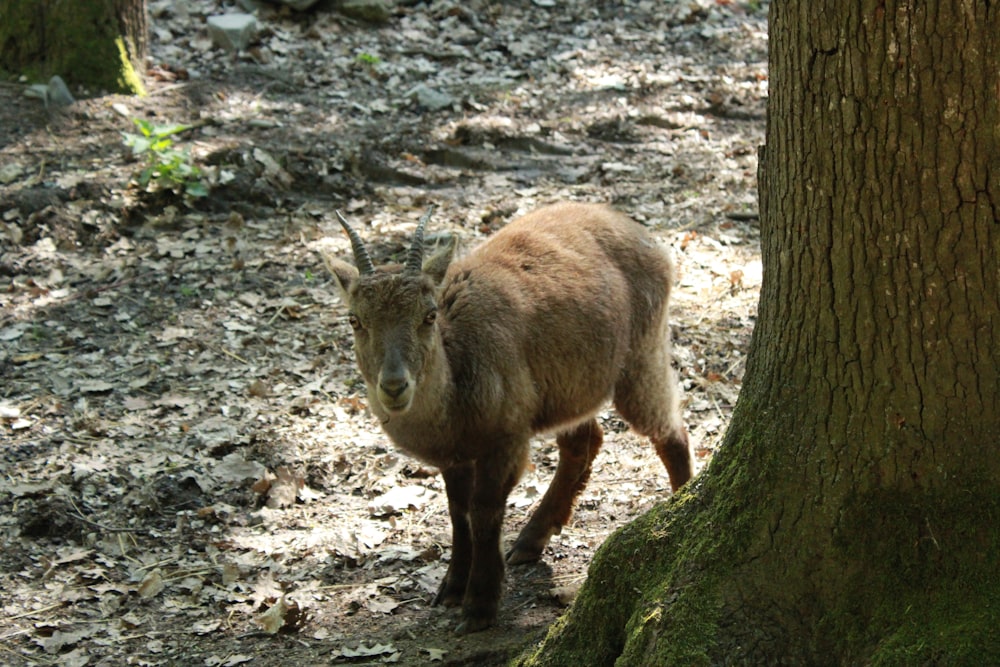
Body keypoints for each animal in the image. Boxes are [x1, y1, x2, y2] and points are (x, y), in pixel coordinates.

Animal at [324, 204, 692, 636]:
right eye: (355, 320)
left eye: (429, 315)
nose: (395, 386)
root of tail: (645, 237)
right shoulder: (456, 455)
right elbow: (458, 512)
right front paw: (452, 586)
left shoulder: (506, 439)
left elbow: (484, 511)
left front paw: (479, 605)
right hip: (572, 383)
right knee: (583, 442)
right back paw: (533, 537)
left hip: (641, 354)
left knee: (670, 432)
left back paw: (679, 506)